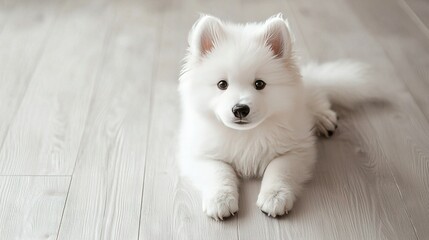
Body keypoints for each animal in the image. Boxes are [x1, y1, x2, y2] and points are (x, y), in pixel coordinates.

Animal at [177, 14, 374, 220]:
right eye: (222, 84)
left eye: (260, 84)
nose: (240, 109)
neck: (246, 134)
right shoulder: (198, 153)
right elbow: (218, 171)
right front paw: (220, 199)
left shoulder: (297, 150)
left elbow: (279, 169)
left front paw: (274, 198)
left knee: (315, 95)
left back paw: (323, 118)